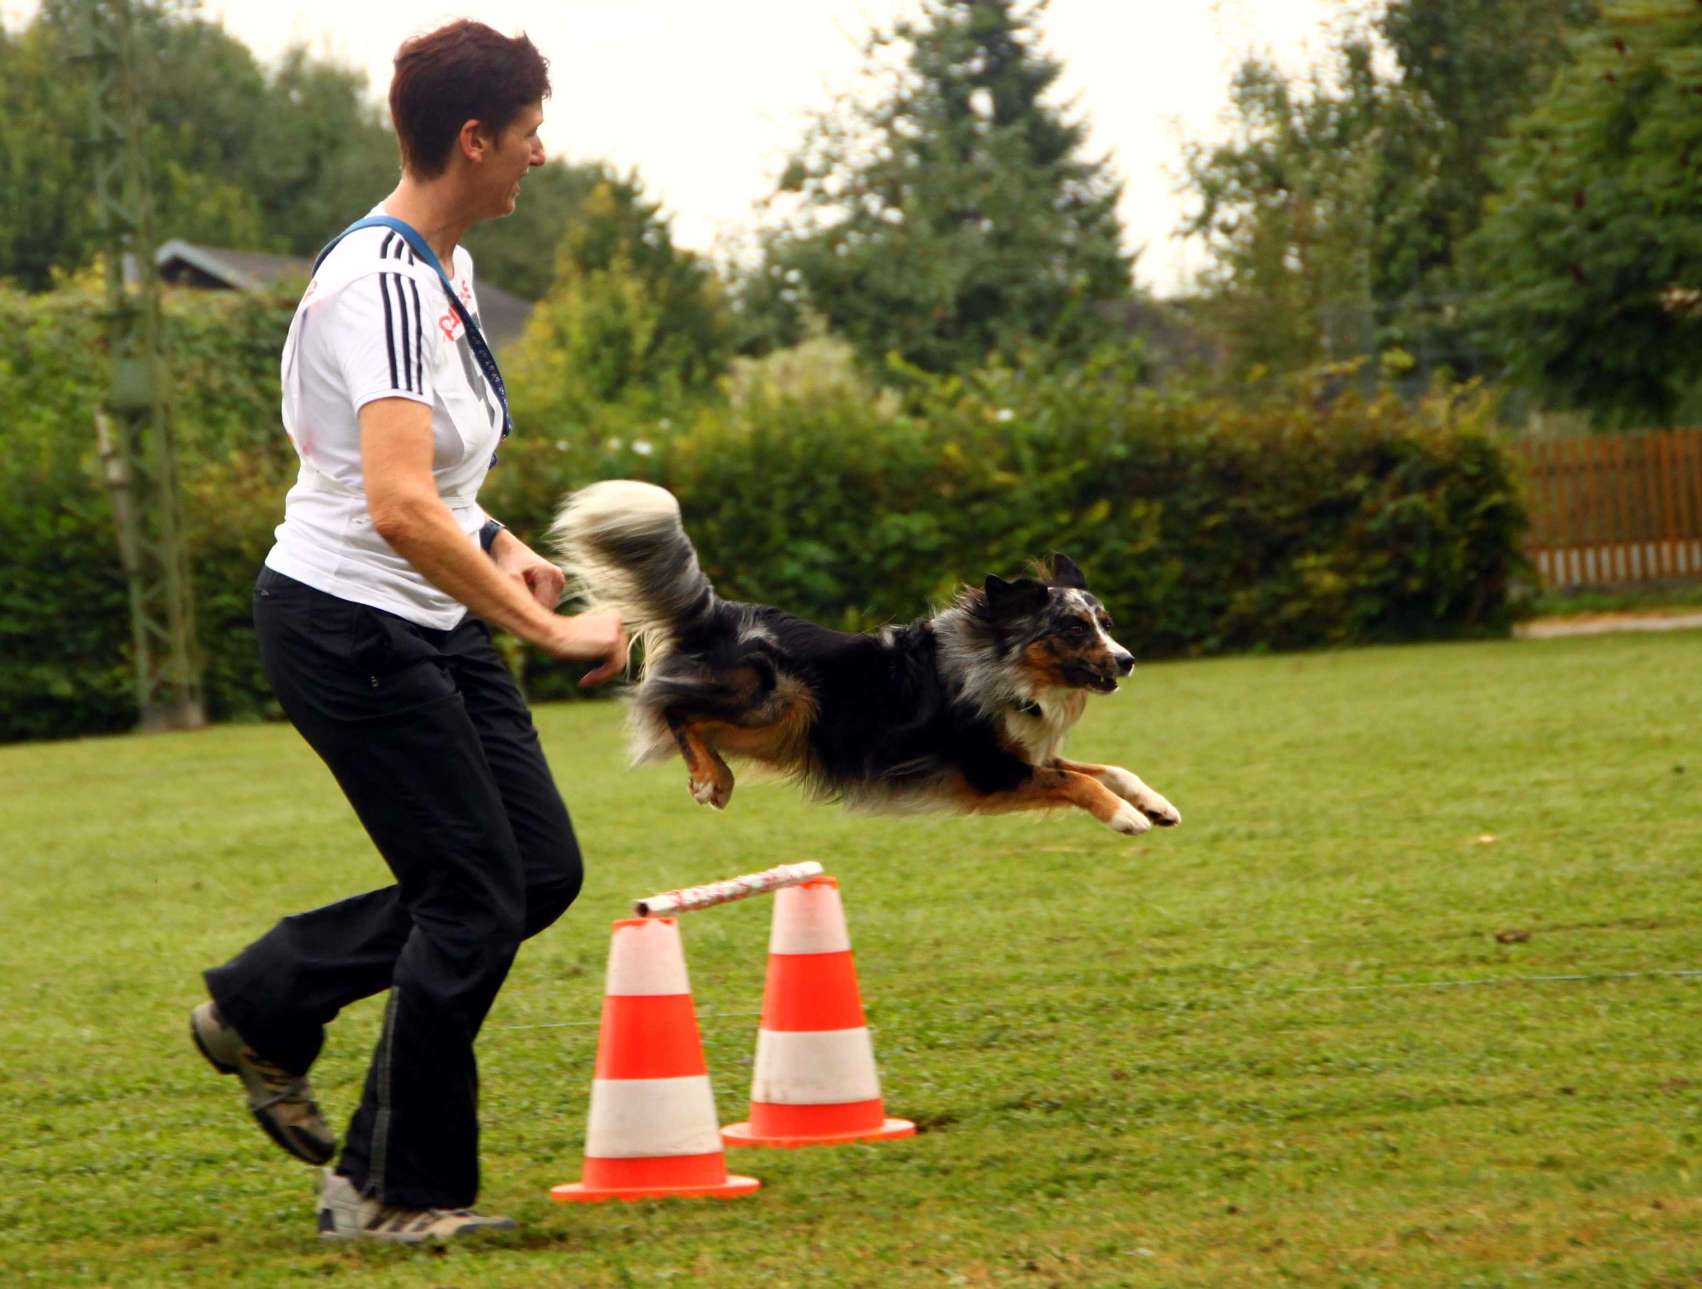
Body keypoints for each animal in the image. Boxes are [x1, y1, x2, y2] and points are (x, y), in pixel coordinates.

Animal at [551, 480, 1177, 834]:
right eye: (1073, 628)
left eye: (1106, 625)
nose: (1127, 660)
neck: (1001, 667)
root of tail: (718, 612)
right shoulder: (990, 770)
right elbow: (1076, 781)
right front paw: (1124, 817)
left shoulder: (1023, 754)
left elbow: (1108, 768)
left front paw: (1156, 805)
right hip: (782, 702)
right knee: (674, 708)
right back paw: (712, 778)